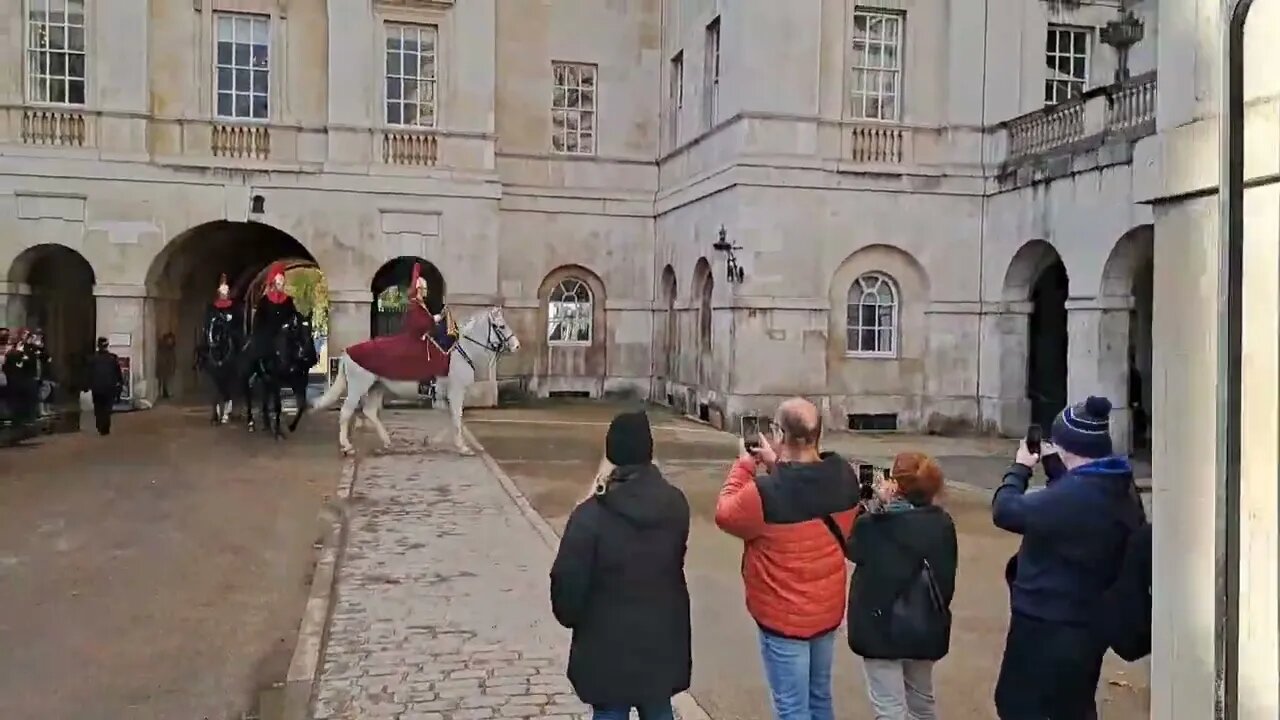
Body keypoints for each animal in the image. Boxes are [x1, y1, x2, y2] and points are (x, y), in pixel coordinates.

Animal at [312, 303, 517, 453]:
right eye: (501, 326)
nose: (516, 346)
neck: (460, 351)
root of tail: (347, 352)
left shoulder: (444, 396)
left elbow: (452, 417)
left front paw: (434, 440)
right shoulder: (456, 391)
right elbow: (456, 416)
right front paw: (463, 446)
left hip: (377, 386)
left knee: (370, 412)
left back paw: (387, 441)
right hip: (358, 387)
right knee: (346, 412)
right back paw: (347, 446)